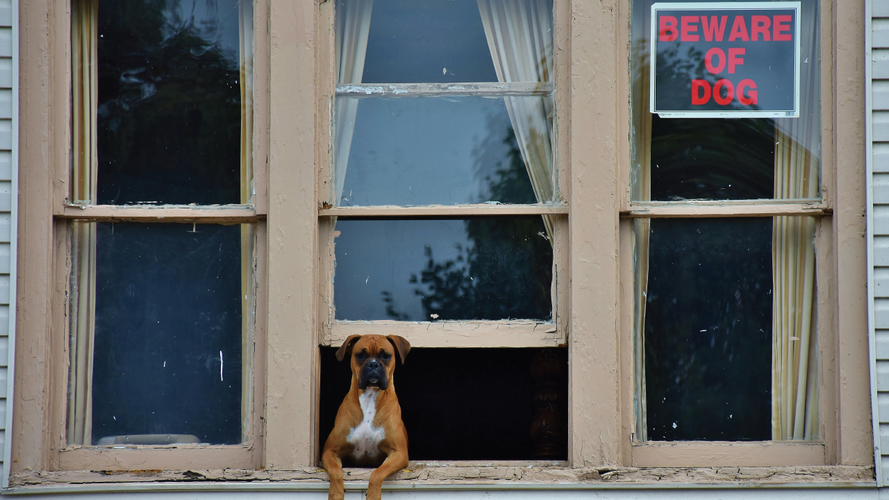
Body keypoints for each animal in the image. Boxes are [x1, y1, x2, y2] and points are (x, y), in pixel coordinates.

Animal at [320, 334, 412, 500]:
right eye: (360, 355)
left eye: (385, 356)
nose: (373, 364)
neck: (370, 395)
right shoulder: (330, 451)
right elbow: (336, 472)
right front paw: (336, 494)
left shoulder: (399, 453)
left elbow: (377, 472)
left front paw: (373, 495)